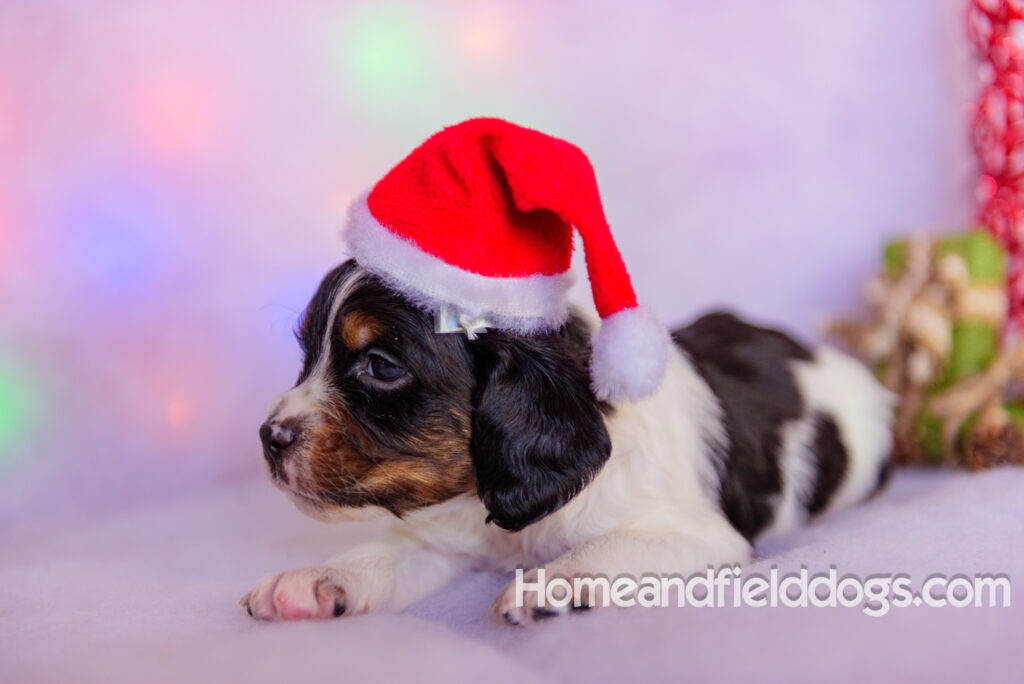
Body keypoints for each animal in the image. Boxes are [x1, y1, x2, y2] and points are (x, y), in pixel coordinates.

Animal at [241, 259, 897, 622]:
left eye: (380, 366)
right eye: (306, 355)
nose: (268, 438)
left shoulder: (698, 534)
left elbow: (605, 549)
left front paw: (550, 583)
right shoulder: (443, 536)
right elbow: (381, 555)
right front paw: (310, 582)